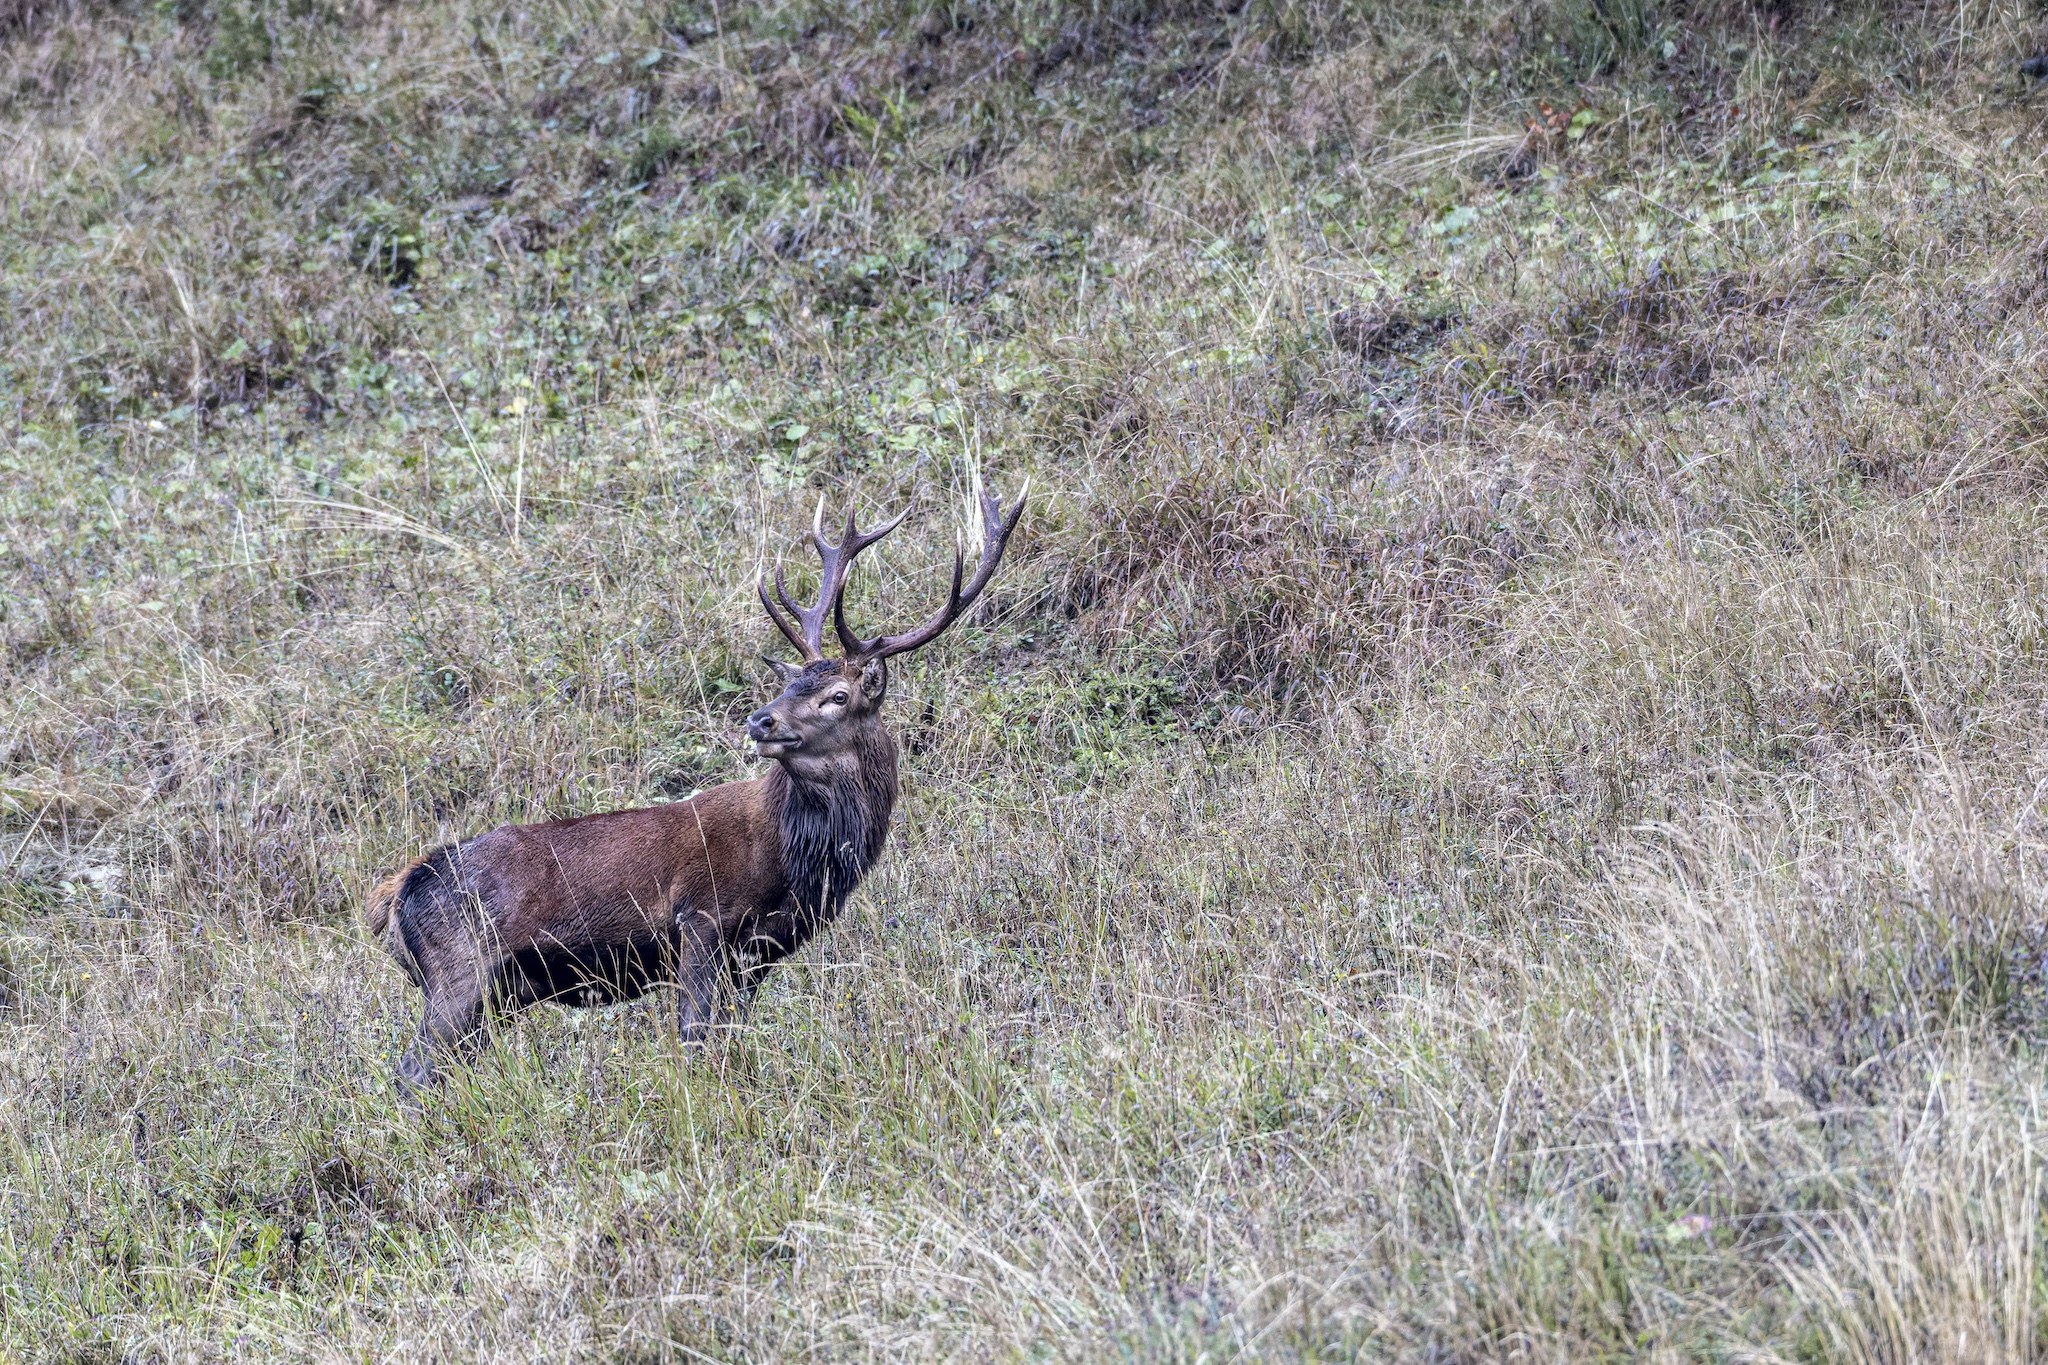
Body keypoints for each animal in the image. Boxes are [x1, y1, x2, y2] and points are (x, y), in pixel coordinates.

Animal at [364, 486, 1026, 1093]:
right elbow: (695, 1036)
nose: (761, 720)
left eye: (837, 695)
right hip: (457, 972)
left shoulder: (759, 954)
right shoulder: (700, 917)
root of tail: (399, 891)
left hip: (490, 994)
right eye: (789, 686)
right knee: (409, 1074)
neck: (790, 856)